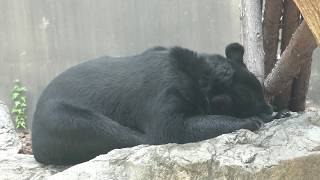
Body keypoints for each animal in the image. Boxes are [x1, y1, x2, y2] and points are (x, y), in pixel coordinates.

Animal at [31, 42, 272, 165]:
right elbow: (171, 129)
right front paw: (252, 121)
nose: (271, 110)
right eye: (252, 103)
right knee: (115, 132)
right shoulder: (164, 96)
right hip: (63, 120)